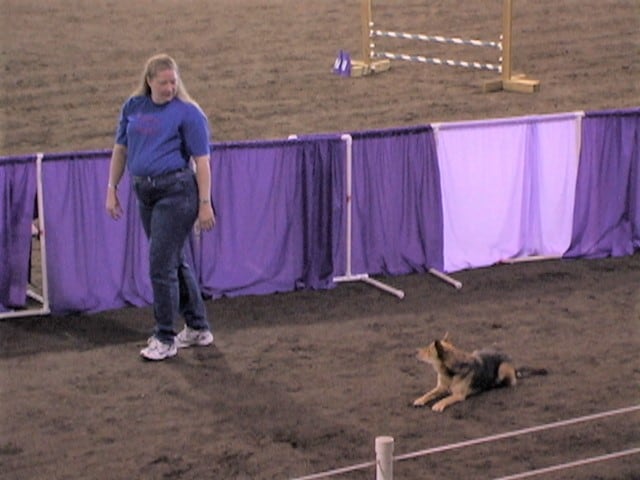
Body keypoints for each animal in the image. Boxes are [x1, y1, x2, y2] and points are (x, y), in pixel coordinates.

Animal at [412, 334, 548, 412]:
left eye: (428, 351)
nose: (415, 351)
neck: (449, 371)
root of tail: (514, 368)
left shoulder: (459, 395)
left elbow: (446, 398)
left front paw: (439, 404)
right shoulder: (440, 388)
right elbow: (429, 393)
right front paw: (420, 399)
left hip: (502, 368)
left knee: (510, 382)